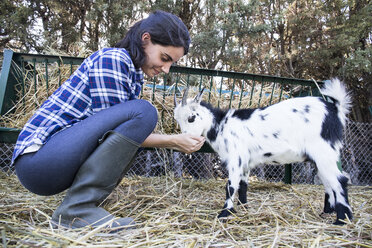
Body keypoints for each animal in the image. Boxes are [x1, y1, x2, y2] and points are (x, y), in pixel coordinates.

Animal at [174, 79, 352, 225]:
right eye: (178, 120)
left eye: (191, 118)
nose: (186, 137)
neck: (221, 125)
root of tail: (334, 108)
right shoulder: (245, 161)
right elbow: (243, 185)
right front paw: (243, 207)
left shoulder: (236, 158)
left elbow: (230, 186)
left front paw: (224, 214)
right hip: (320, 157)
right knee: (328, 182)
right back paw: (327, 212)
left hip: (324, 151)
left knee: (340, 180)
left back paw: (342, 220)